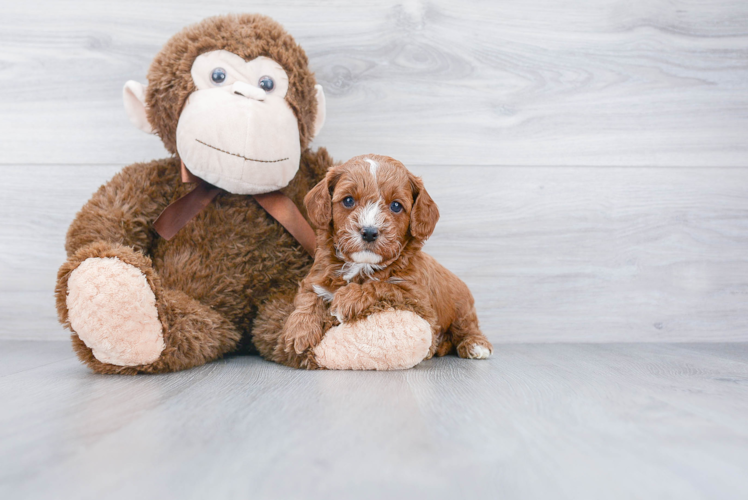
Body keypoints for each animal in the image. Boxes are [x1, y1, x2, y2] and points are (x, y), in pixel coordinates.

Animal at [274, 153, 490, 368]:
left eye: (396, 206)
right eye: (348, 200)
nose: (369, 232)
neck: (362, 265)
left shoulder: (417, 299)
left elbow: (383, 286)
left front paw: (348, 298)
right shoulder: (316, 278)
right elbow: (308, 298)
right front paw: (298, 331)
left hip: (462, 306)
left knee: (467, 327)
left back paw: (476, 345)